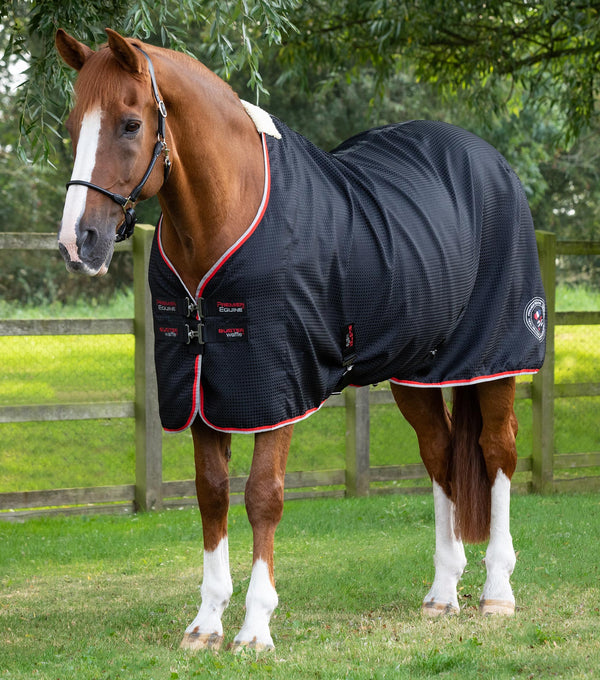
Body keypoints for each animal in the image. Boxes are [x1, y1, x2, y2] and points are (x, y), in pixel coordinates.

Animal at [55, 28, 545, 652]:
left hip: (496, 356)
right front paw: (206, 623)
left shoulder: (275, 385)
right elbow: (211, 493)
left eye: (130, 124)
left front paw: (254, 628)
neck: (230, 214)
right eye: (72, 125)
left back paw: (497, 591)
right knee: (439, 455)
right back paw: (442, 592)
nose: (79, 242)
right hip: (415, 370)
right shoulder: (202, 388)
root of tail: (490, 161)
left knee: (497, 450)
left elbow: (263, 495)